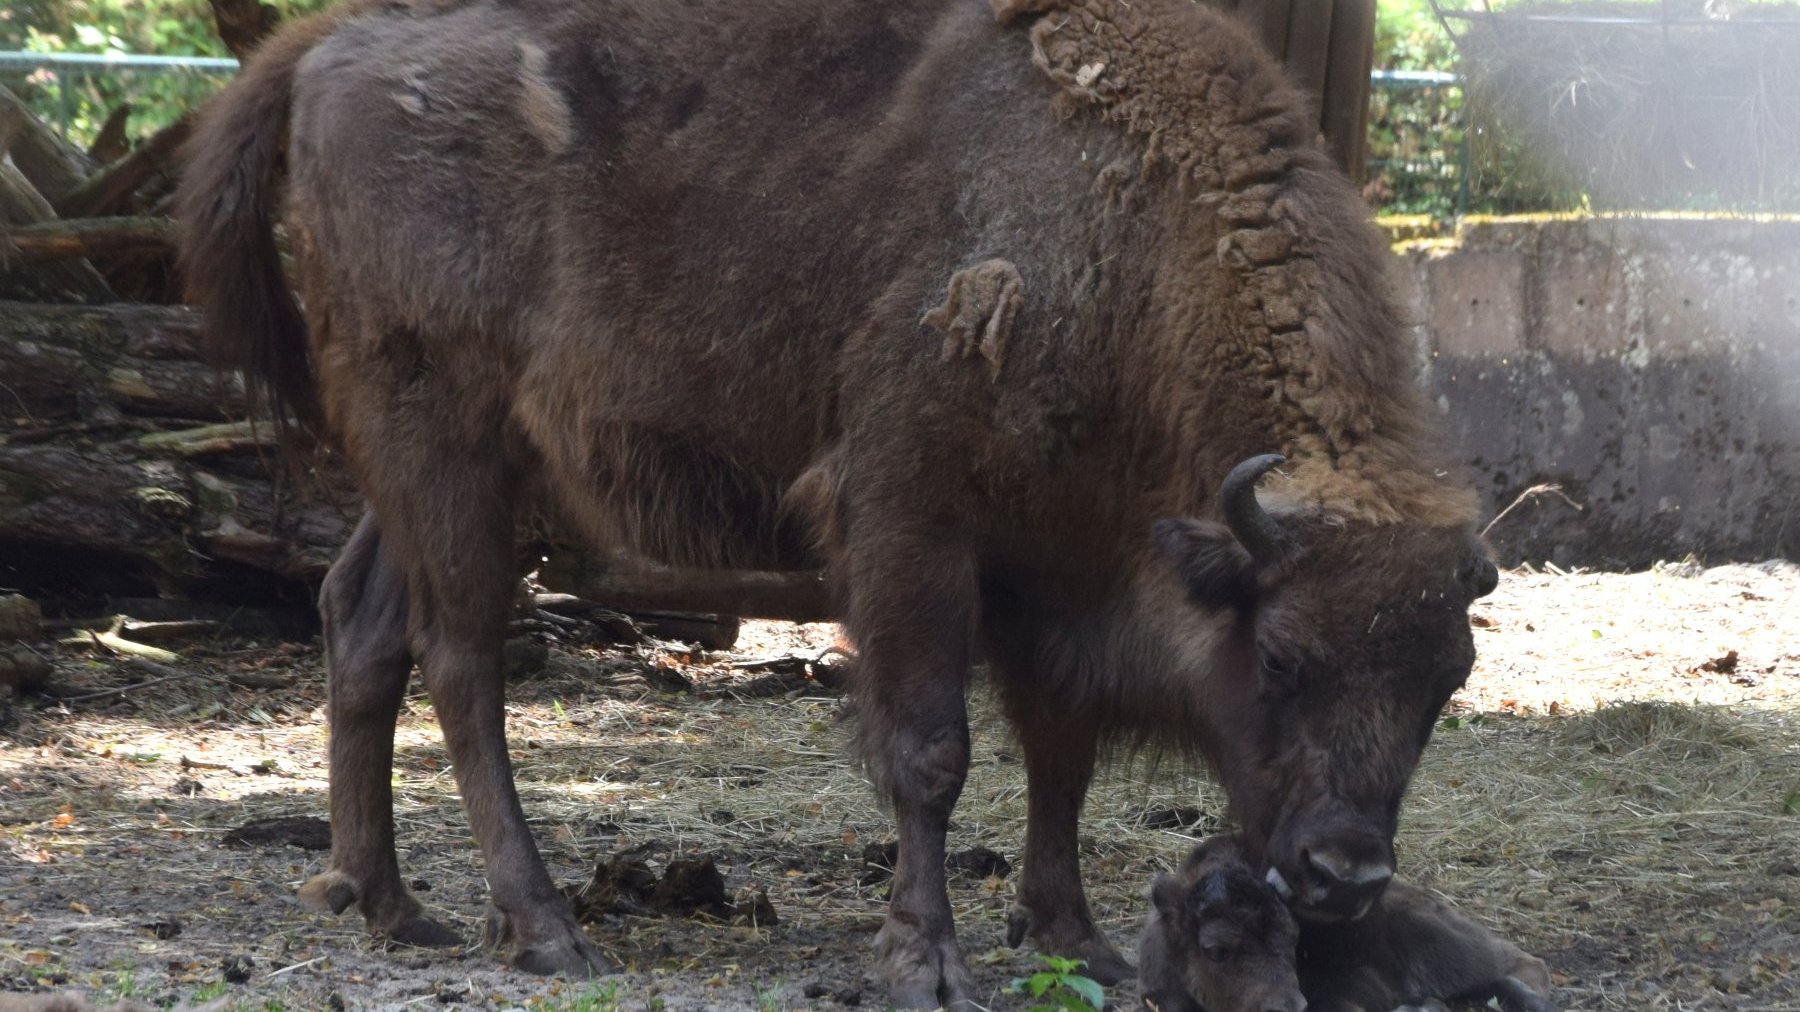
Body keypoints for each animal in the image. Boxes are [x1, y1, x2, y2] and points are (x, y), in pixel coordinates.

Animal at [179, 0, 1504, 1001]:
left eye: (1448, 679)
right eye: (1280, 656)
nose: (1345, 873)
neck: (1119, 221)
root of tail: (336, 43)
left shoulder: (1053, 563)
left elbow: (1059, 753)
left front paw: (1076, 936)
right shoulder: (913, 517)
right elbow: (931, 751)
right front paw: (926, 960)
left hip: (449, 465)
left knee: (360, 620)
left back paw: (387, 904)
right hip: (441, 438)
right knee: (459, 659)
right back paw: (544, 926)